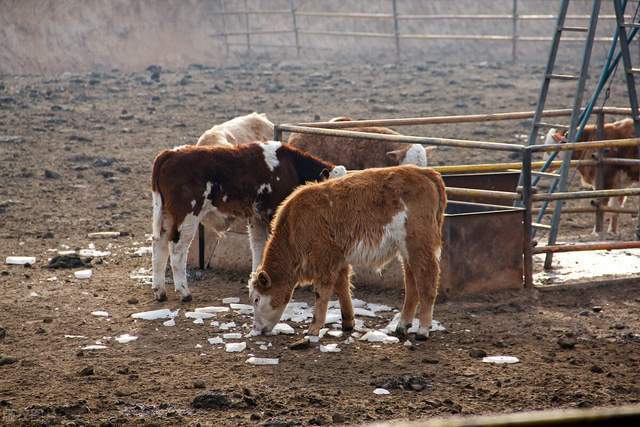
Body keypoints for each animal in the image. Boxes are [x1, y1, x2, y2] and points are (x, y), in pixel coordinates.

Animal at [151, 142, 348, 302]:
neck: (291, 166)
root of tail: (171, 153)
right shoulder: (272, 214)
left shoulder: (256, 218)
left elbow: (258, 247)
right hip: (187, 216)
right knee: (177, 249)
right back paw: (184, 292)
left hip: (166, 216)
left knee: (159, 247)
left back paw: (160, 292)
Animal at [249, 165, 444, 342]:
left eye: (256, 299)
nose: (257, 328)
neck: (294, 226)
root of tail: (424, 172)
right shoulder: (339, 259)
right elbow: (342, 288)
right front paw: (348, 323)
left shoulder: (324, 259)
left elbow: (322, 293)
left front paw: (314, 328)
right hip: (406, 251)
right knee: (412, 284)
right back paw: (403, 326)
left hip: (419, 246)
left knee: (427, 281)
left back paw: (423, 330)